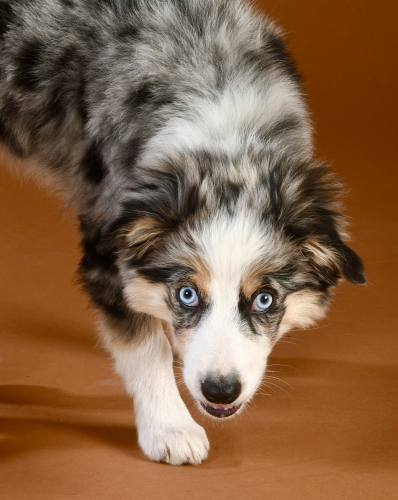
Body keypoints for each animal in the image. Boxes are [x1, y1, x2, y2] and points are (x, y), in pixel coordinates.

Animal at [0, 0, 366, 464]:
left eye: (265, 300)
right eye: (187, 294)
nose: (220, 391)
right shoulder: (107, 247)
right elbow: (145, 345)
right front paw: (170, 428)